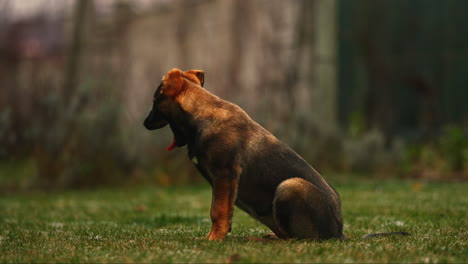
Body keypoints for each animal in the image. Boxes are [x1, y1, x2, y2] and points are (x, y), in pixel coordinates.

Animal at [144, 68, 346, 241]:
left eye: (155, 100)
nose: (145, 123)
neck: (201, 115)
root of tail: (339, 231)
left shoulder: (225, 175)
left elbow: (217, 211)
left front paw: (213, 238)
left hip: (290, 186)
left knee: (298, 239)